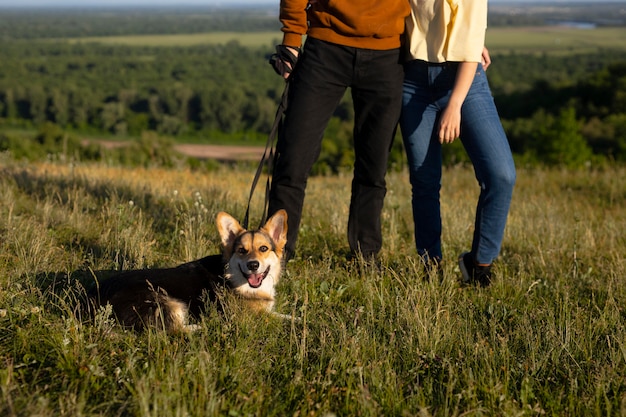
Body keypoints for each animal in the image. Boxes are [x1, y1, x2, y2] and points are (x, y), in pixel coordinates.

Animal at [88, 210, 288, 334]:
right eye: (241, 250)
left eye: (263, 248)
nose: (253, 265)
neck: (233, 277)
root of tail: (93, 297)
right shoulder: (252, 317)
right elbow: (279, 318)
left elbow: (285, 315)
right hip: (169, 303)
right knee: (171, 330)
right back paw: (199, 327)